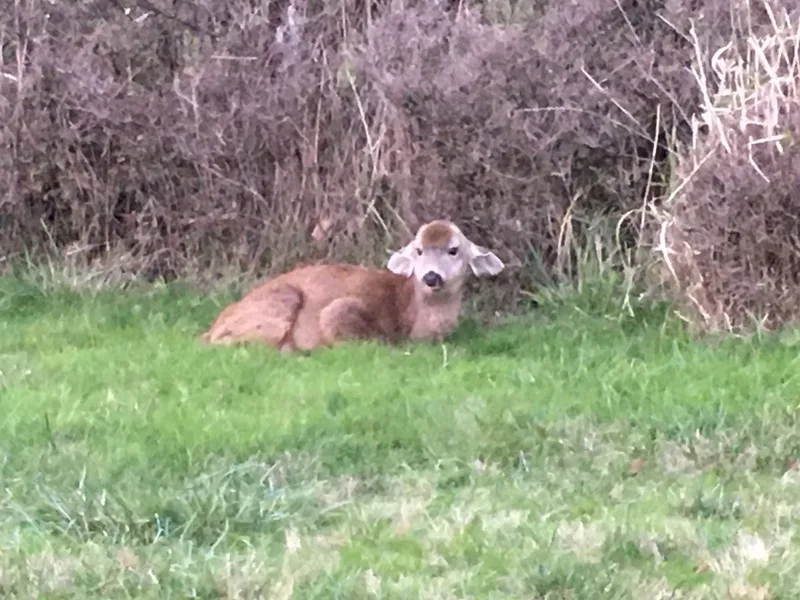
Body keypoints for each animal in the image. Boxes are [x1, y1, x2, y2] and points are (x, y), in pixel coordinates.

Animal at [201, 219, 505, 352]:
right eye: (418, 251)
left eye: (454, 250)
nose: (431, 277)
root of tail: (212, 327)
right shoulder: (340, 310)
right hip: (278, 306)